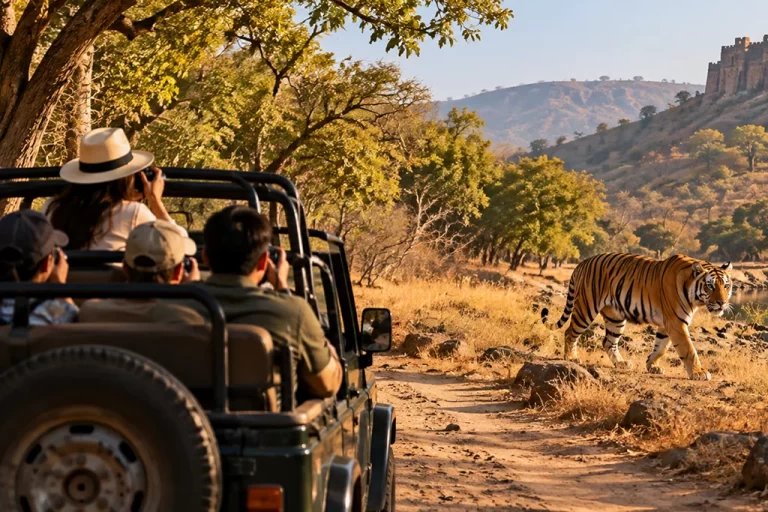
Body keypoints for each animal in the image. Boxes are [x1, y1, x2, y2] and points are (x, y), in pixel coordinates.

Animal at [540, 253, 733, 381]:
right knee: (570, 332)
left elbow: (661, 346)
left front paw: (652, 365)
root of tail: (583, 262)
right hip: (586, 309)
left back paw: (621, 363)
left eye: (726, 285)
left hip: (615, 317)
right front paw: (699, 373)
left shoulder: (667, 323)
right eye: (710, 286)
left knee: (608, 341)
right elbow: (689, 349)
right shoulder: (676, 322)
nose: (722, 303)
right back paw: (571, 358)